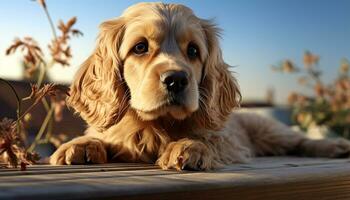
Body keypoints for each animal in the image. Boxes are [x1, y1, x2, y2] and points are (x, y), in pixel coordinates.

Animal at [50, 1, 350, 170]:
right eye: (140, 47)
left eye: (193, 51)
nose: (176, 79)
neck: (157, 124)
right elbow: (103, 135)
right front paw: (78, 146)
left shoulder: (227, 140)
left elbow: (205, 138)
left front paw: (187, 148)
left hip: (267, 129)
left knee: (297, 139)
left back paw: (335, 146)